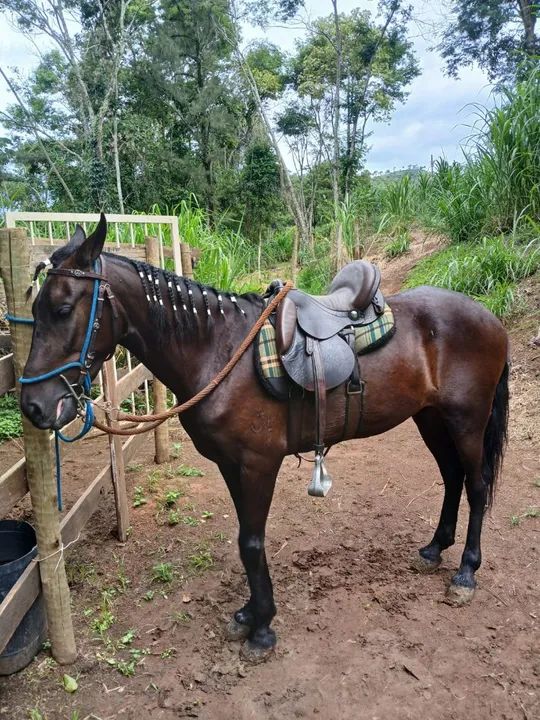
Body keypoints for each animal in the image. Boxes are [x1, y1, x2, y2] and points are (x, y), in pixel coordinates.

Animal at [20, 215, 509, 662]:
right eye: (37, 308)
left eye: (62, 309)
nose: (33, 406)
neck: (217, 351)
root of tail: (490, 318)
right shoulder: (231, 465)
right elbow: (245, 541)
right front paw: (249, 615)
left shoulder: (259, 463)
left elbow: (252, 544)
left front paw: (262, 630)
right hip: (431, 419)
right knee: (452, 479)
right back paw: (434, 549)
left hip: (466, 421)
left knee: (477, 485)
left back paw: (466, 572)